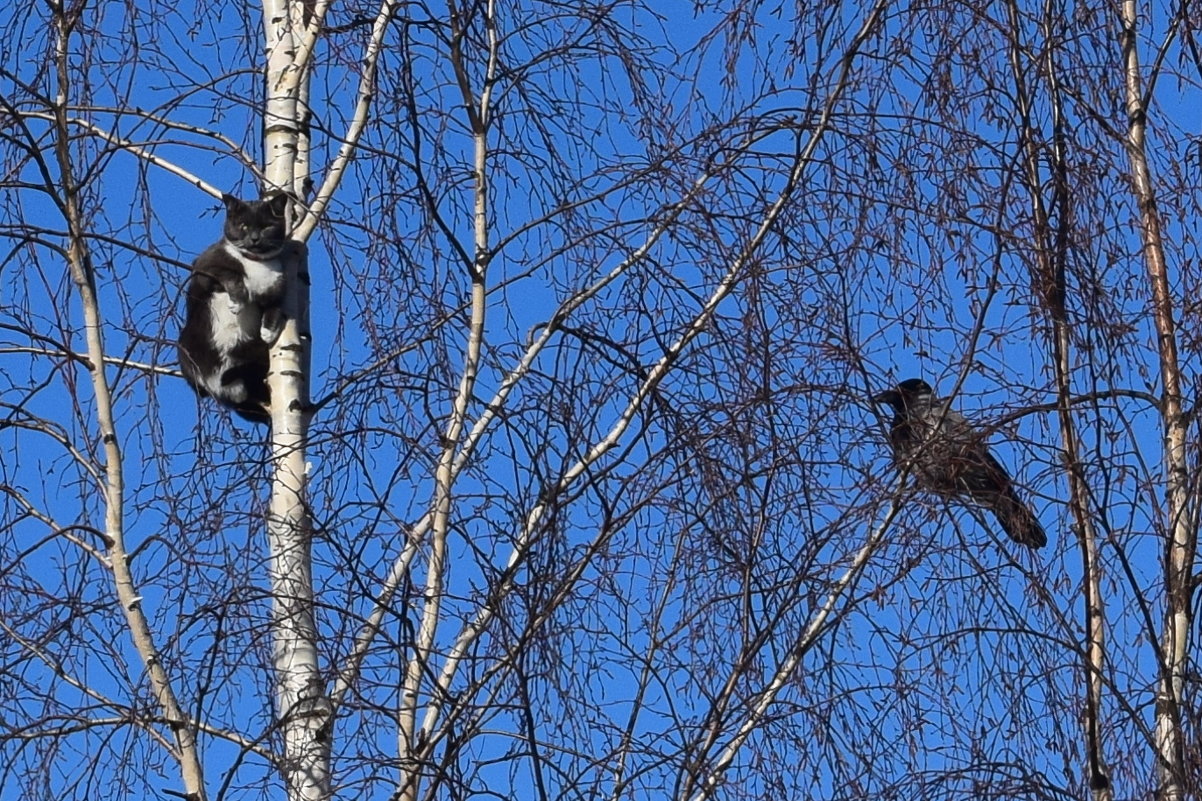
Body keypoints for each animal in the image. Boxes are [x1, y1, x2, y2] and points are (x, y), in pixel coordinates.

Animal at [176, 192, 289, 423]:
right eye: (243, 226)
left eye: (266, 226)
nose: (254, 238)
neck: (257, 264)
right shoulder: (204, 267)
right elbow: (232, 274)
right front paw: (237, 301)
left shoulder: (276, 287)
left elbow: (273, 307)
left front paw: (268, 330)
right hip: (184, 347)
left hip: (252, 358)